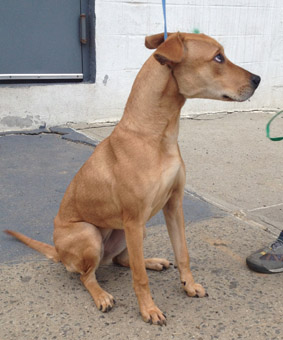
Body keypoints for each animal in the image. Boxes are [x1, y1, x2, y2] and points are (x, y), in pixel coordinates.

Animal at [5, 32, 260, 326]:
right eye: (218, 57)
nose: (258, 79)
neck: (155, 134)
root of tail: (59, 252)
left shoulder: (173, 206)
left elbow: (182, 253)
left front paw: (189, 285)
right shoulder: (134, 220)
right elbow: (140, 278)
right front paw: (148, 309)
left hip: (134, 232)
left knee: (120, 261)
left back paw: (153, 261)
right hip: (91, 234)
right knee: (86, 276)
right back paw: (101, 295)